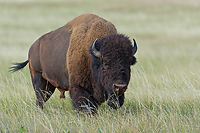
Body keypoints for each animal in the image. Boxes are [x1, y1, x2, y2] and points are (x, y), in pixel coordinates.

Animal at [9, 13, 138, 114]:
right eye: (106, 63)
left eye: (129, 63)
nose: (120, 86)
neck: (91, 56)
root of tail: (32, 47)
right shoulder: (78, 87)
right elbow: (86, 107)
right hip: (38, 77)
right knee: (40, 98)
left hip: (50, 84)